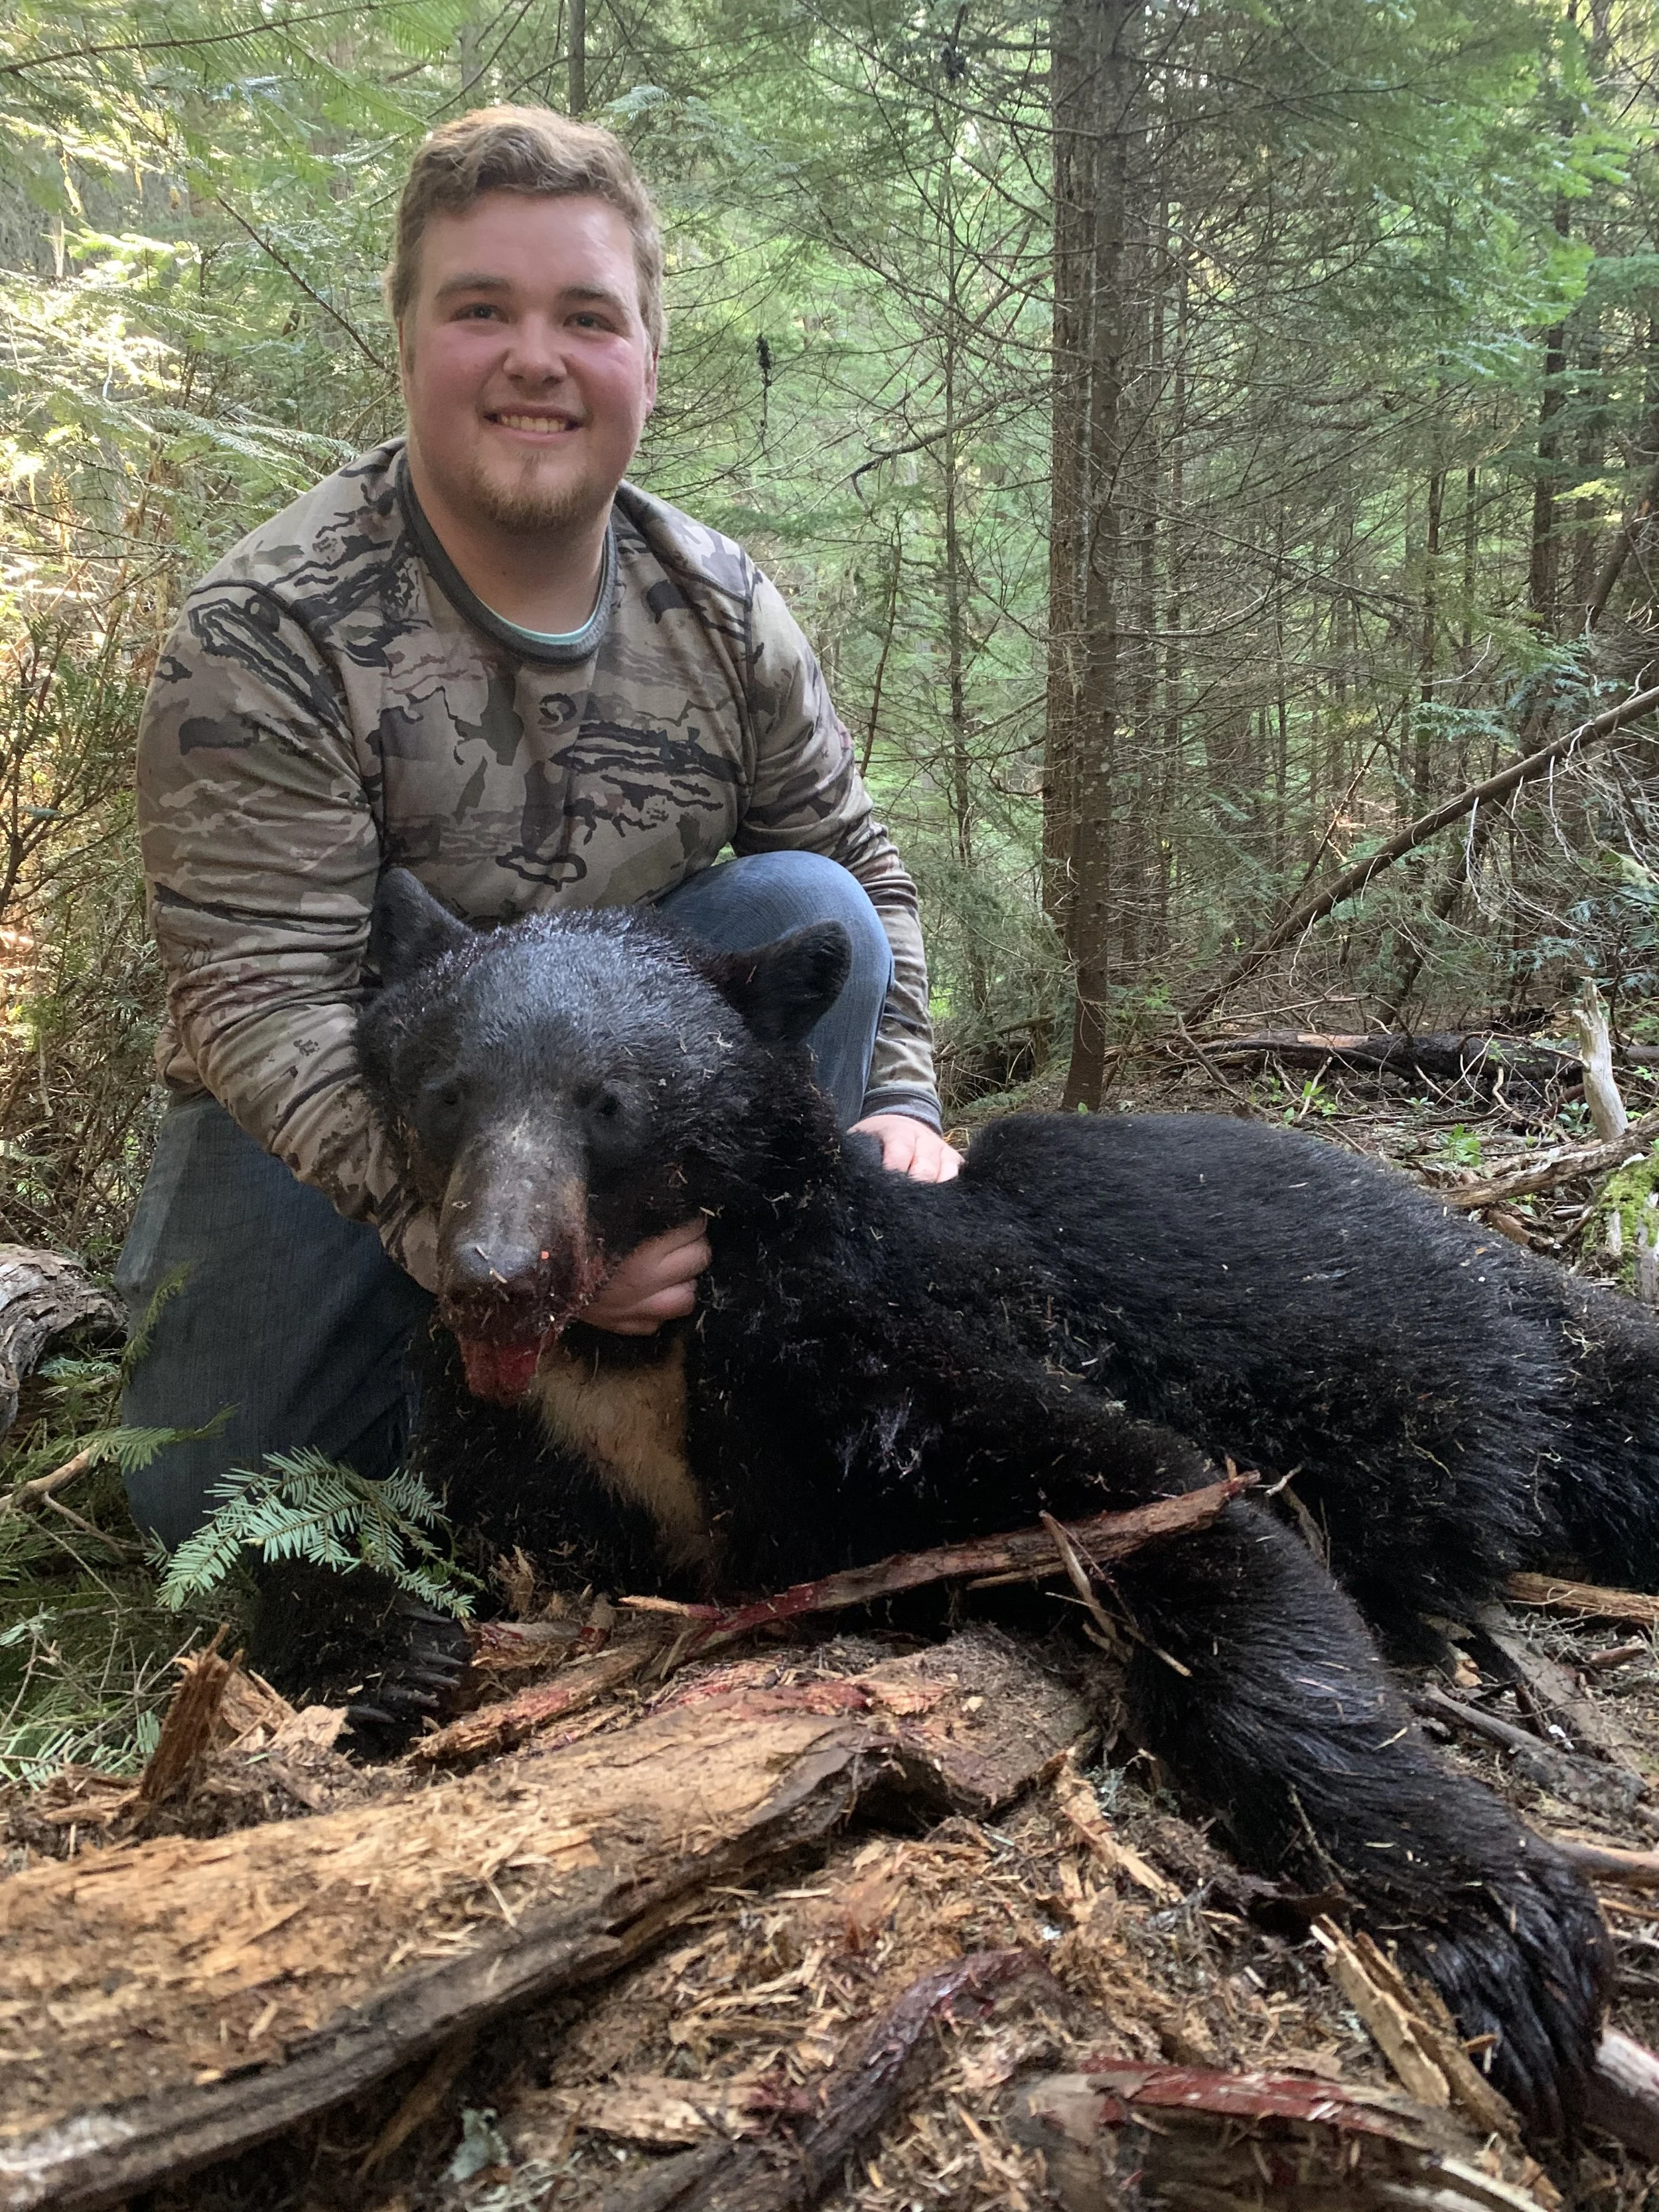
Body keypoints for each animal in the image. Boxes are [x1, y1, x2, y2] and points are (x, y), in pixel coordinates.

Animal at [334, 864, 1659, 2139]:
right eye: (447, 1092)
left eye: (610, 1103)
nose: (497, 1278)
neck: (635, 1359)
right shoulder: (540, 1440)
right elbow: (426, 1532)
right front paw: (395, 1662)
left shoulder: (877, 1346)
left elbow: (1184, 1510)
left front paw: (1489, 1925)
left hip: (1498, 1356)